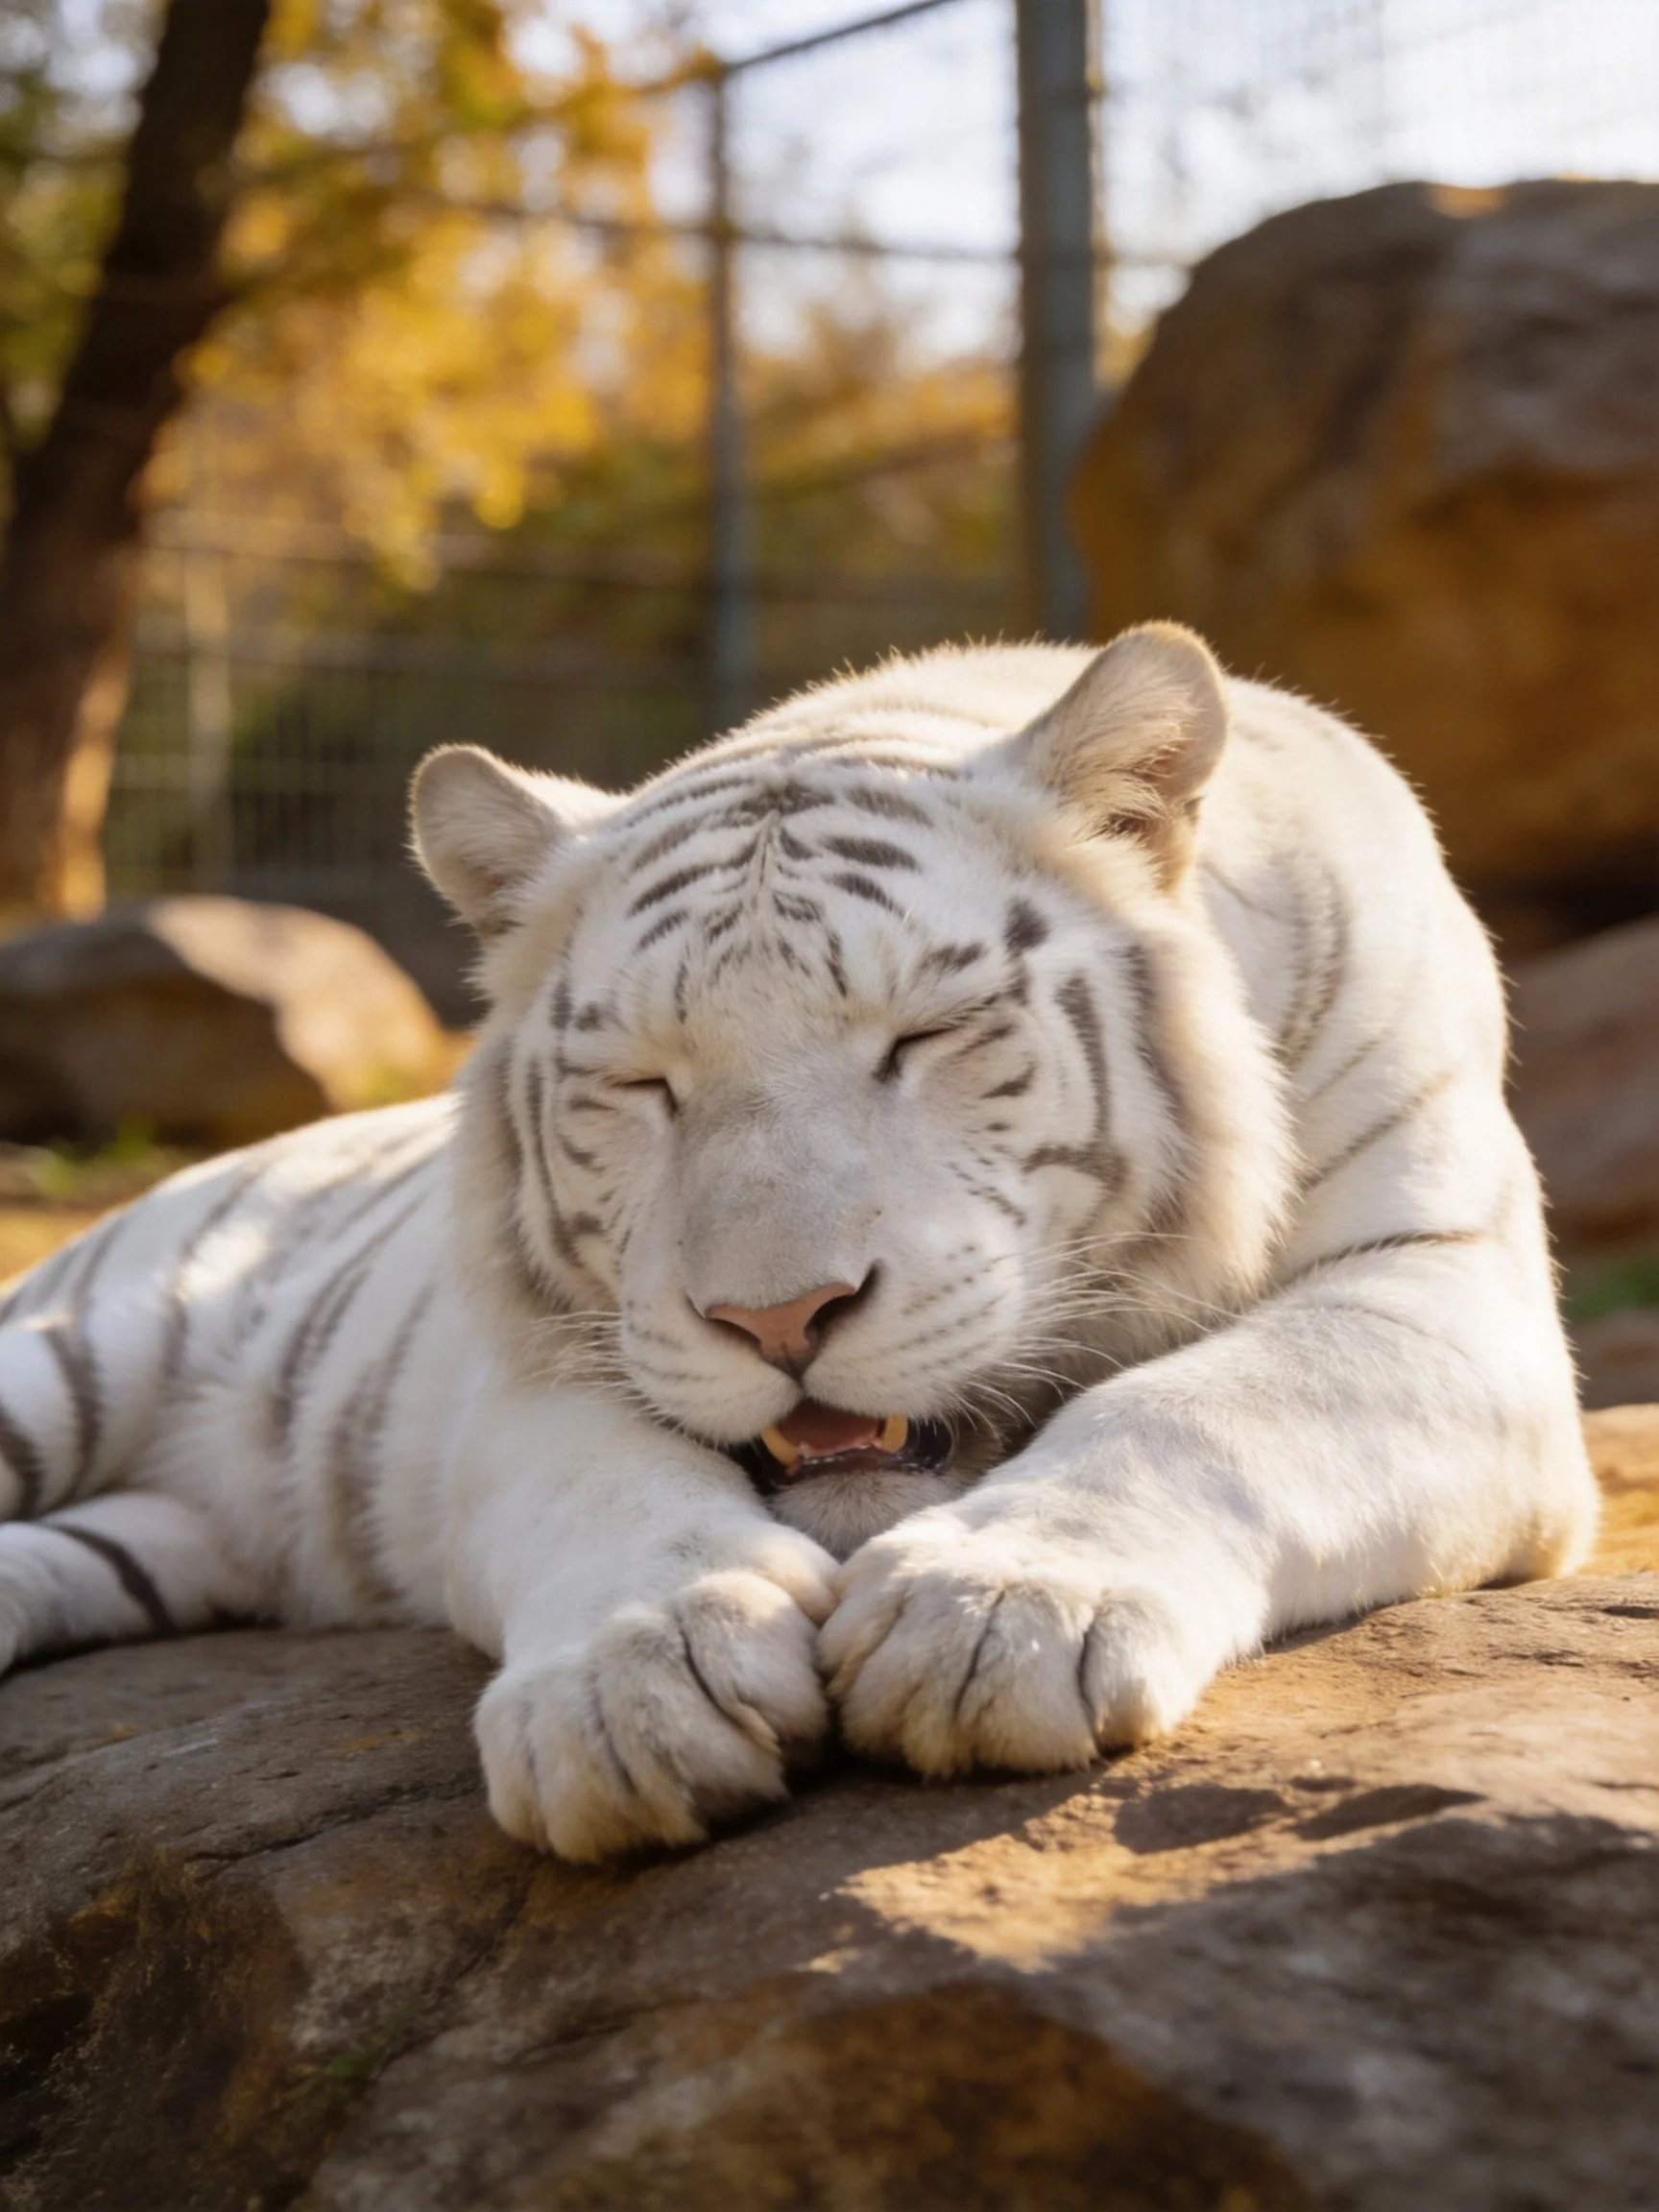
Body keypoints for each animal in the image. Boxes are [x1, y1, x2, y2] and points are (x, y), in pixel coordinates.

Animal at [0, 624, 1595, 1861]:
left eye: (926, 1035)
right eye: (642, 1081)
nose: (781, 1319)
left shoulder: (1442, 1286)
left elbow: (1202, 1408)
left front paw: (1000, 1613)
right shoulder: (528, 1374)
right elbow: (611, 1491)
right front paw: (639, 1687)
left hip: (160, 1539)